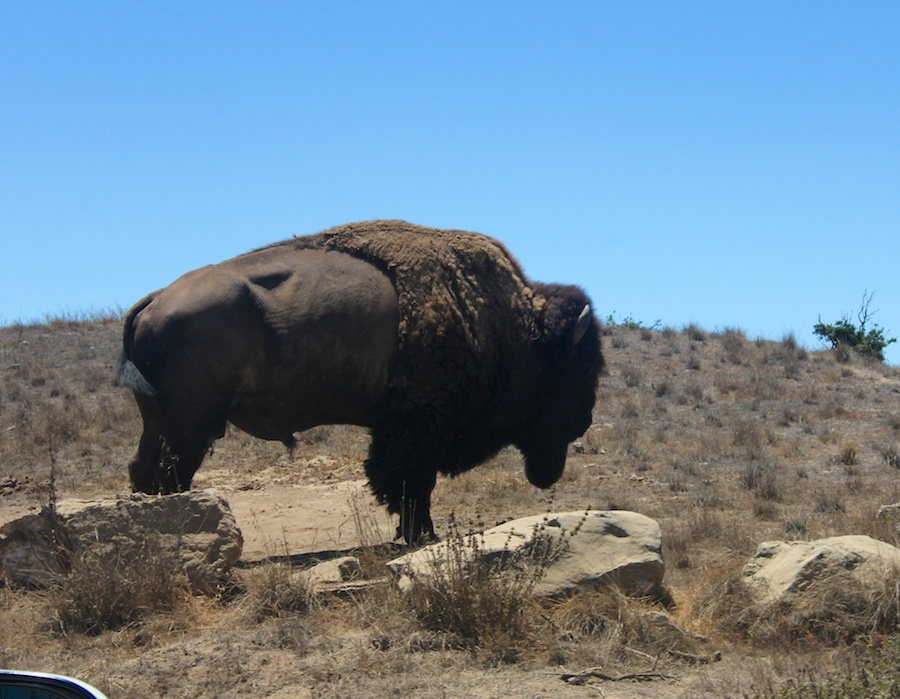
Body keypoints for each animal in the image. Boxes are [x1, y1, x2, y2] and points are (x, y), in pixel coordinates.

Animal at [118, 219, 596, 540]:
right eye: (577, 368)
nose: (584, 422)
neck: (504, 323)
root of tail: (156, 299)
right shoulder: (420, 429)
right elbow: (412, 484)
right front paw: (422, 536)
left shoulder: (401, 429)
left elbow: (410, 485)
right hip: (190, 425)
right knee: (171, 477)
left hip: (162, 421)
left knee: (146, 471)